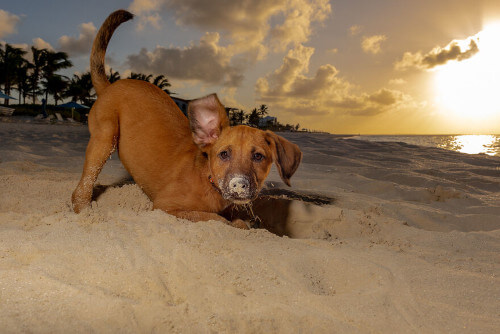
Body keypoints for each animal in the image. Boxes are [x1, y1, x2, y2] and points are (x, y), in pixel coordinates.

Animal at [72, 11, 302, 230]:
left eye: (258, 156)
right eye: (224, 154)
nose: (238, 185)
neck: (208, 179)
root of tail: (110, 86)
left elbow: (228, 218)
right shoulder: (166, 206)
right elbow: (216, 219)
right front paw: (236, 223)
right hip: (104, 139)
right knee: (82, 188)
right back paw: (84, 211)